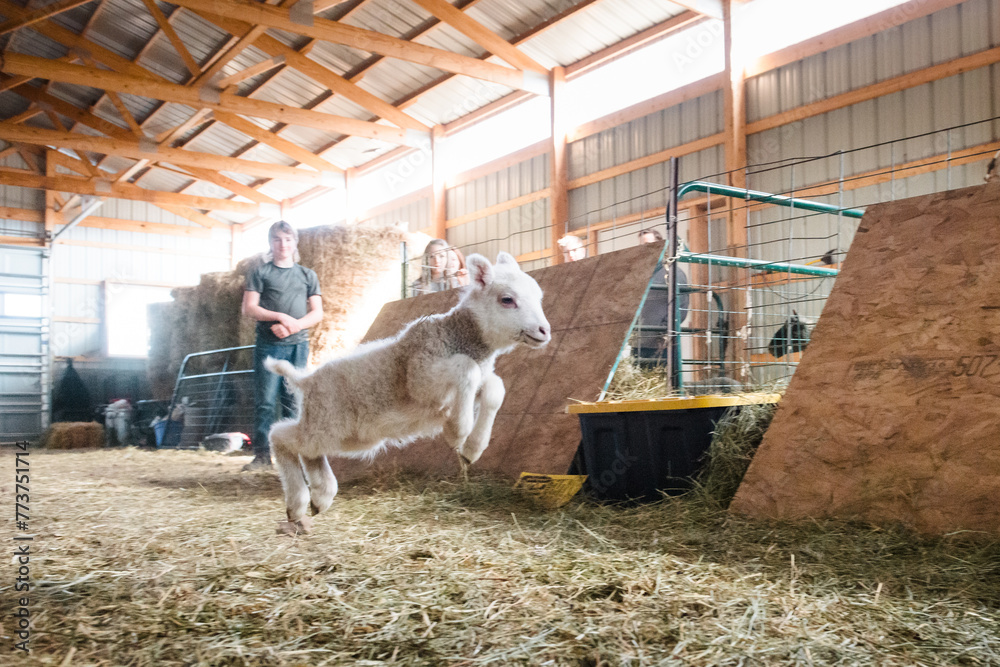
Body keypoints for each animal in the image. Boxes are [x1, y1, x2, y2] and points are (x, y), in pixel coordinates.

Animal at [265, 252, 551, 535]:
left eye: (539, 297)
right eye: (507, 300)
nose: (544, 331)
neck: (459, 338)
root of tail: (306, 380)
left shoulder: (474, 382)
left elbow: (495, 389)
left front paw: (473, 448)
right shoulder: (421, 377)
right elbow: (466, 369)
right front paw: (457, 430)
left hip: (348, 436)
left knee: (308, 451)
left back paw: (320, 496)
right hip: (328, 422)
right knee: (280, 436)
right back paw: (298, 504)